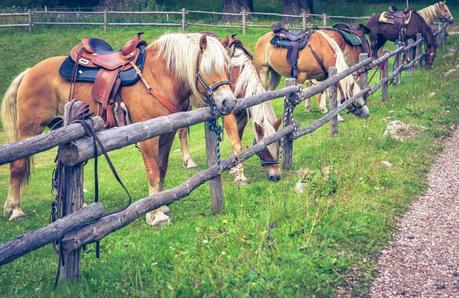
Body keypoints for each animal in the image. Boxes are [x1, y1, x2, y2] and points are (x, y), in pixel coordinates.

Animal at [0, 32, 237, 227]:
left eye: (227, 67)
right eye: (207, 68)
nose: (228, 102)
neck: (159, 77)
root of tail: (29, 72)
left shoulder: (167, 134)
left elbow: (161, 170)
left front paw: (162, 205)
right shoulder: (148, 138)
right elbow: (153, 173)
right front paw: (155, 216)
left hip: (61, 128)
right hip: (29, 129)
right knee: (17, 166)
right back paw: (15, 209)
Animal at [177, 36, 282, 183]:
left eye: (279, 143)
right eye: (264, 149)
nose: (276, 176)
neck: (237, 74)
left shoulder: (242, 115)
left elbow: (238, 140)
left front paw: (234, 168)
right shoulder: (228, 114)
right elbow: (236, 143)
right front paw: (240, 176)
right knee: (181, 132)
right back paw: (189, 161)